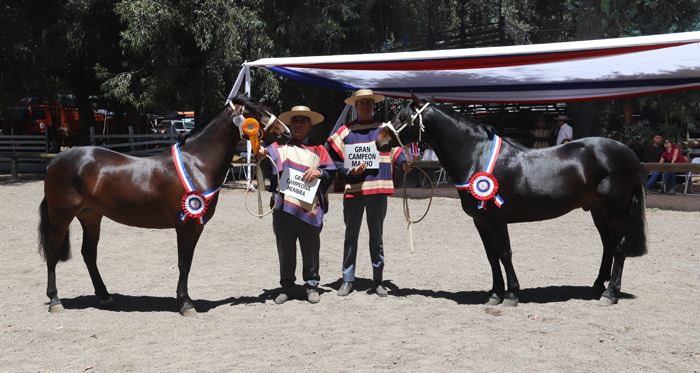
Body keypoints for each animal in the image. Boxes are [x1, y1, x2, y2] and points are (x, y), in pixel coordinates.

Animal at [37, 94, 290, 316]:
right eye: (256, 112)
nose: (286, 133)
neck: (197, 163)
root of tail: (55, 161)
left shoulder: (197, 226)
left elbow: (188, 261)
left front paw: (186, 299)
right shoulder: (186, 225)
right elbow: (183, 263)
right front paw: (186, 304)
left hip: (91, 216)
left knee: (89, 253)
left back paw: (105, 296)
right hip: (61, 216)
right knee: (52, 252)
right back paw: (56, 300)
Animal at [378, 93, 644, 306]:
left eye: (402, 117)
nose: (380, 140)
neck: (477, 155)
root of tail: (629, 151)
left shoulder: (497, 220)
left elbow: (504, 253)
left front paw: (512, 294)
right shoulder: (481, 221)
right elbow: (491, 256)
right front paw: (495, 293)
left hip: (615, 212)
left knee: (618, 246)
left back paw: (610, 293)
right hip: (598, 211)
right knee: (607, 246)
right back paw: (598, 285)